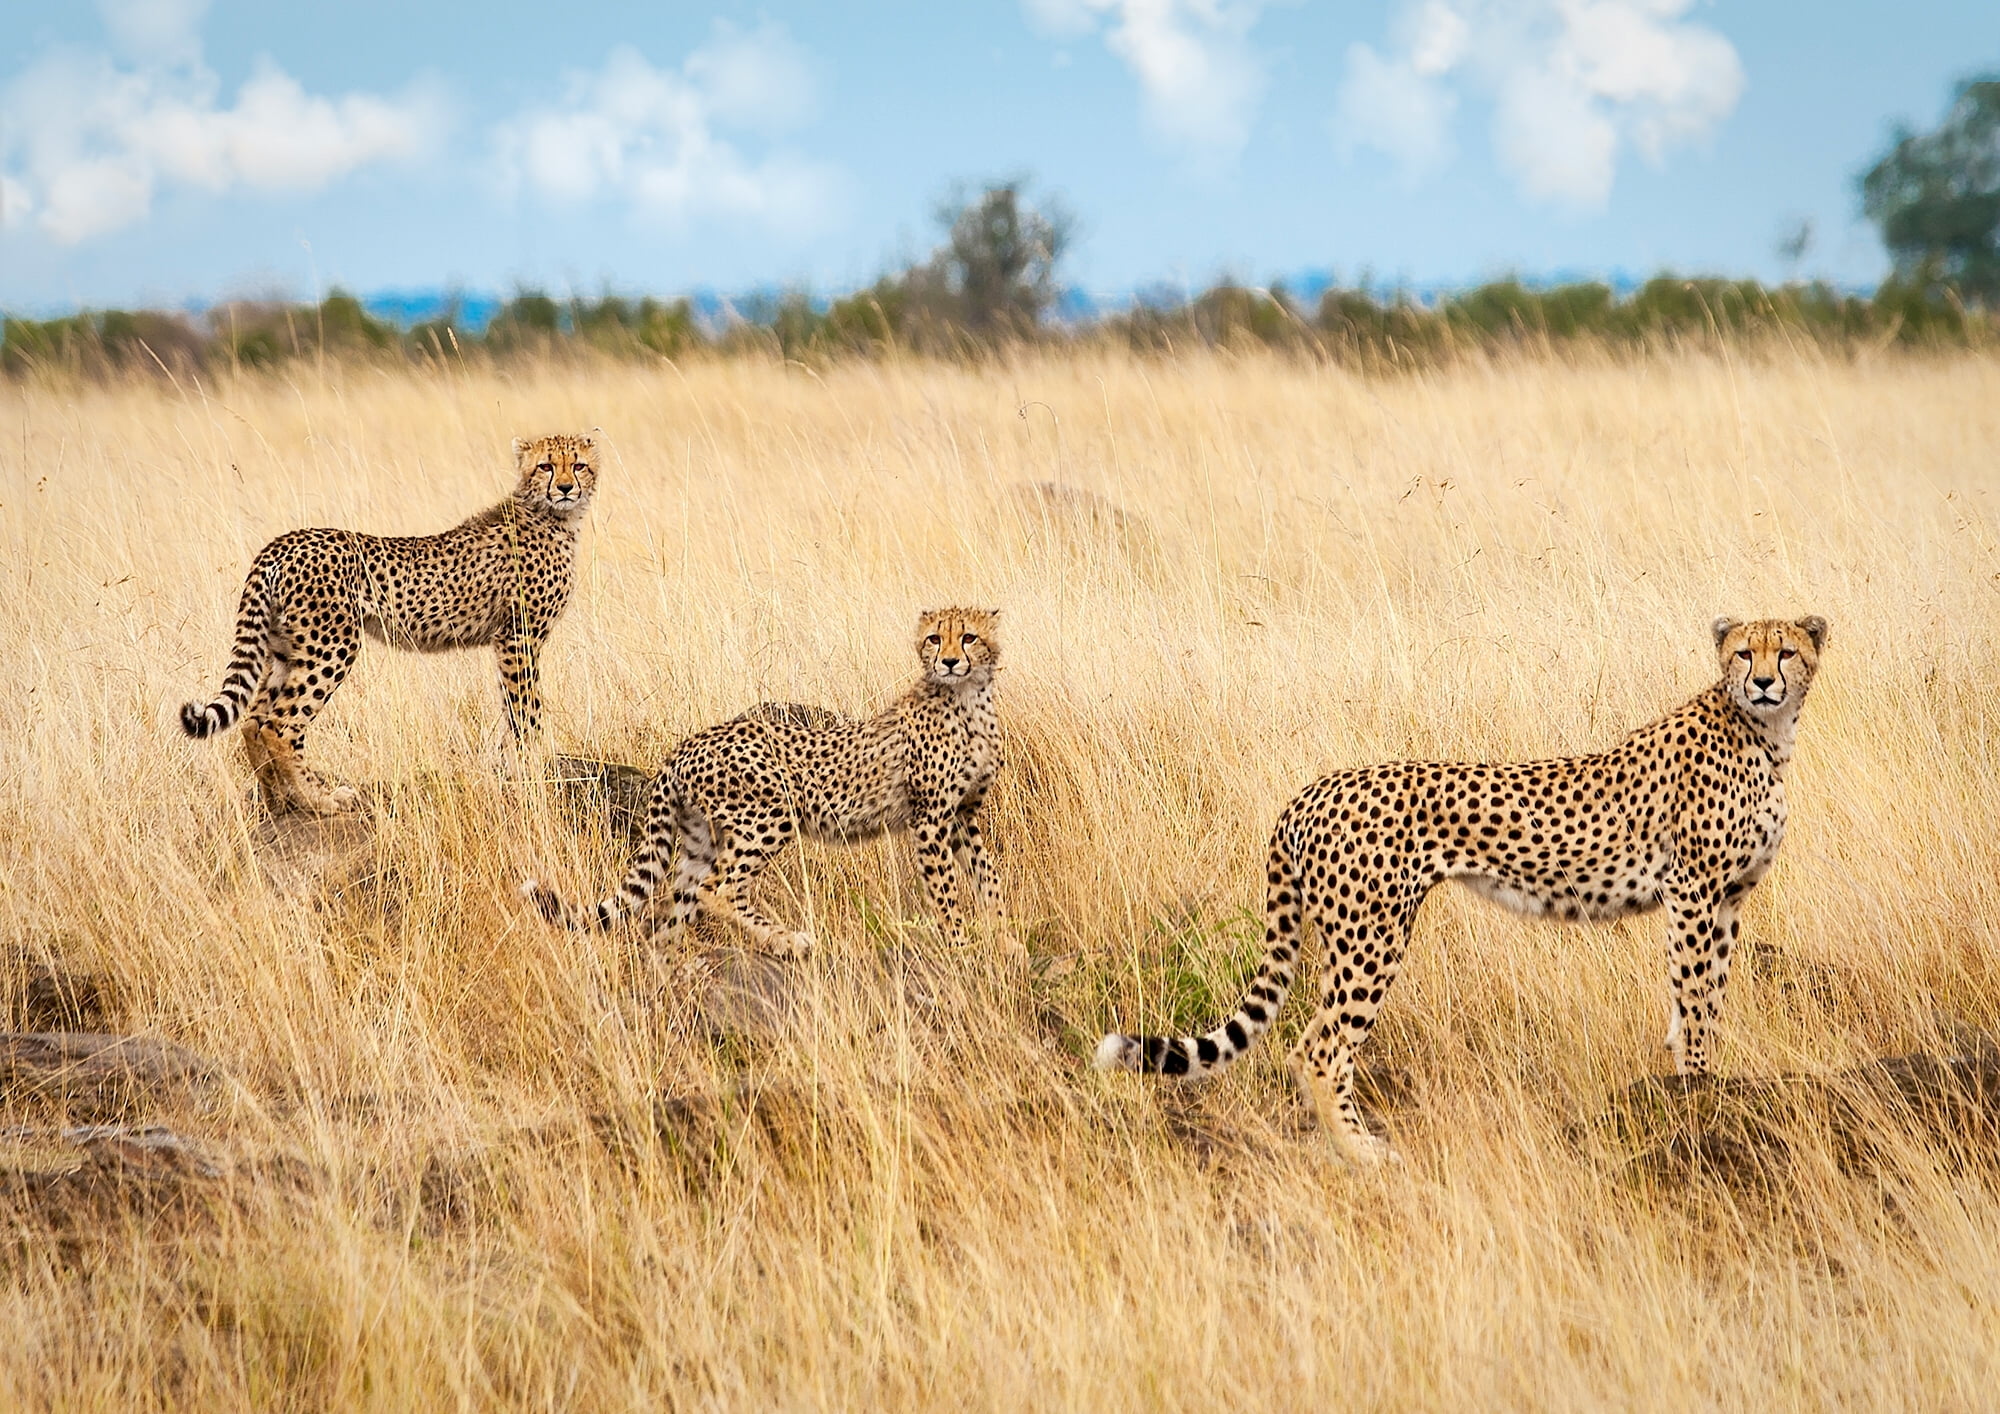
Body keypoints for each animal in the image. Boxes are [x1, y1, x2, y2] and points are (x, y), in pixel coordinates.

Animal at [180, 432, 599, 815]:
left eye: (578, 465)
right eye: (546, 466)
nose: (565, 488)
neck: (552, 516)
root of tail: (285, 540)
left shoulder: (511, 641)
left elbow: (513, 709)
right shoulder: (518, 638)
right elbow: (526, 710)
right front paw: (532, 767)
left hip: (285, 649)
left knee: (253, 720)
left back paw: (279, 802)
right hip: (331, 648)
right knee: (279, 725)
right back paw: (318, 801)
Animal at [523, 608, 1011, 957]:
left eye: (969, 637)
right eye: (935, 638)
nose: (949, 661)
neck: (968, 698)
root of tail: (687, 743)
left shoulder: (963, 814)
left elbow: (987, 877)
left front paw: (1004, 937)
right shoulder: (930, 818)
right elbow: (946, 890)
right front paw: (960, 945)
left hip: (700, 841)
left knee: (668, 916)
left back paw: (673, 975)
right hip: (770, 814)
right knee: (717, 889)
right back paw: (788, 941)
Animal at [1096, 615, 1829, 1165]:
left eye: (1786, 650)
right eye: (1744, 651)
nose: (1764, 681)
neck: (1766, 735)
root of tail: (1312, 789)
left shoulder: (1726, 898)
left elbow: (1698, 993)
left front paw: (1689, 1077)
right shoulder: (1695, 891)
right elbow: (1699, 994)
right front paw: (1700, 1088)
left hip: (1347, 939)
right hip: (1373, 938)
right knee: (1320, 1050)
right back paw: (1363, 1154)